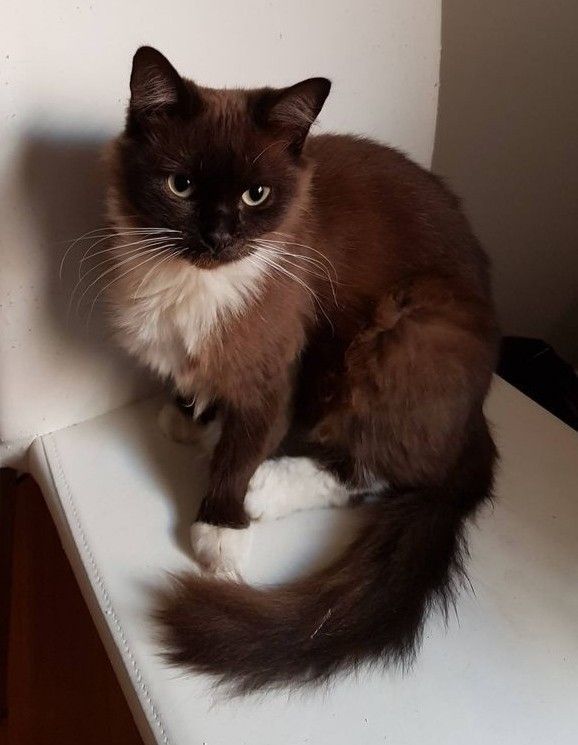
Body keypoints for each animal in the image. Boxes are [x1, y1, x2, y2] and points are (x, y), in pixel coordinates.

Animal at [106, 45, 498, 684]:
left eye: (256, 196)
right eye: (181, 185)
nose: (217, 236)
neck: (196, 283)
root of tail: (477, 418)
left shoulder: (276, 367)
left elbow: (240, 452)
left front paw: (220, 530)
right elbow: (191, 380)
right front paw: (187, 416)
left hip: (408, 329)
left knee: (380, 470)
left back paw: (267, 490)